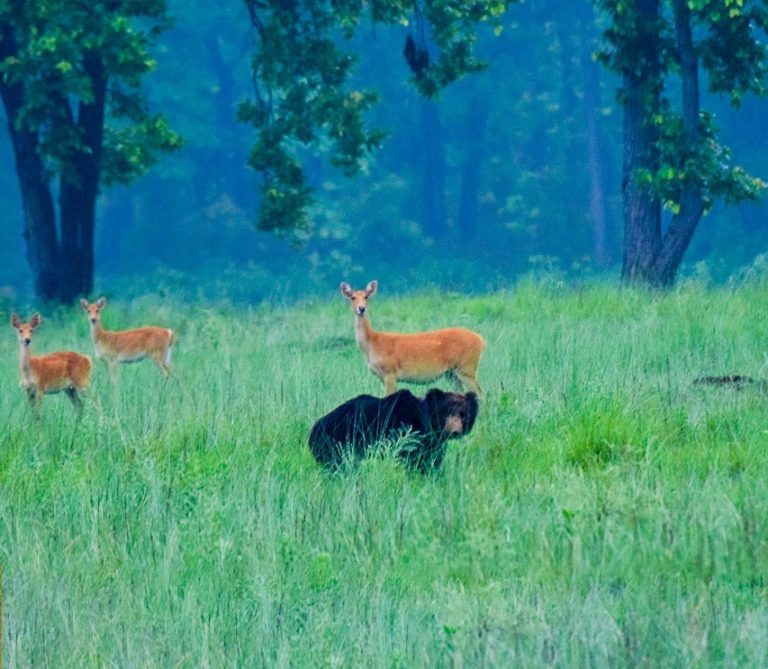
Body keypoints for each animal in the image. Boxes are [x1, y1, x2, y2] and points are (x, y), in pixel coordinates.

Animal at [308, 386, 476, 470]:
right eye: (446, 412)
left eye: (463, 414)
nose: (454, 431)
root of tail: (313, 430)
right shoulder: (405, 432)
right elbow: (414, 460)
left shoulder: (432, 443)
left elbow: (432, 460)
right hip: (338, 442)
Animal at [340, 278, 484, 394]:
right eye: (352, 297)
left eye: (366, 296)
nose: (361, 308)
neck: (372, 343)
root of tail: (481, 341)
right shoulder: (382, 377)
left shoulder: (390, 371)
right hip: (452, 372)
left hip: (467, 367)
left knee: (479, 393)